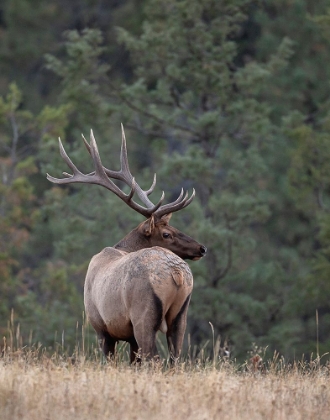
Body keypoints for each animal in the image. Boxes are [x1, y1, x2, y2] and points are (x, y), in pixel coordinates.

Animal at [46, 124, 206, 360]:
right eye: (167, 233)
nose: (202, 248)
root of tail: (176, 274)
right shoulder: (128, 337)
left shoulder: (101, 327)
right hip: (180, 316)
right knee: (175, 357)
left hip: (143, 316)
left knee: (153, 357)